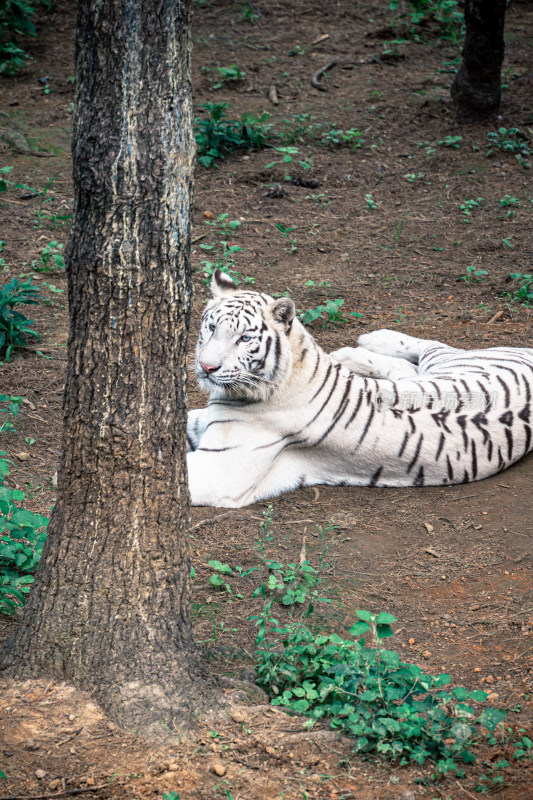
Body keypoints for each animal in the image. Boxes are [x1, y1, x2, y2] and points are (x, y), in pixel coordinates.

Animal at [187, 268, 532, 506]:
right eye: (211, 327)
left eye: (244, 338)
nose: (207, 367)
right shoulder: (207, 420)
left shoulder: (220, 469)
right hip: (425, 376)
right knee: (407, 367)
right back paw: (353, 350)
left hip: (452, 359)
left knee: (433, 346)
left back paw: (371, 338)